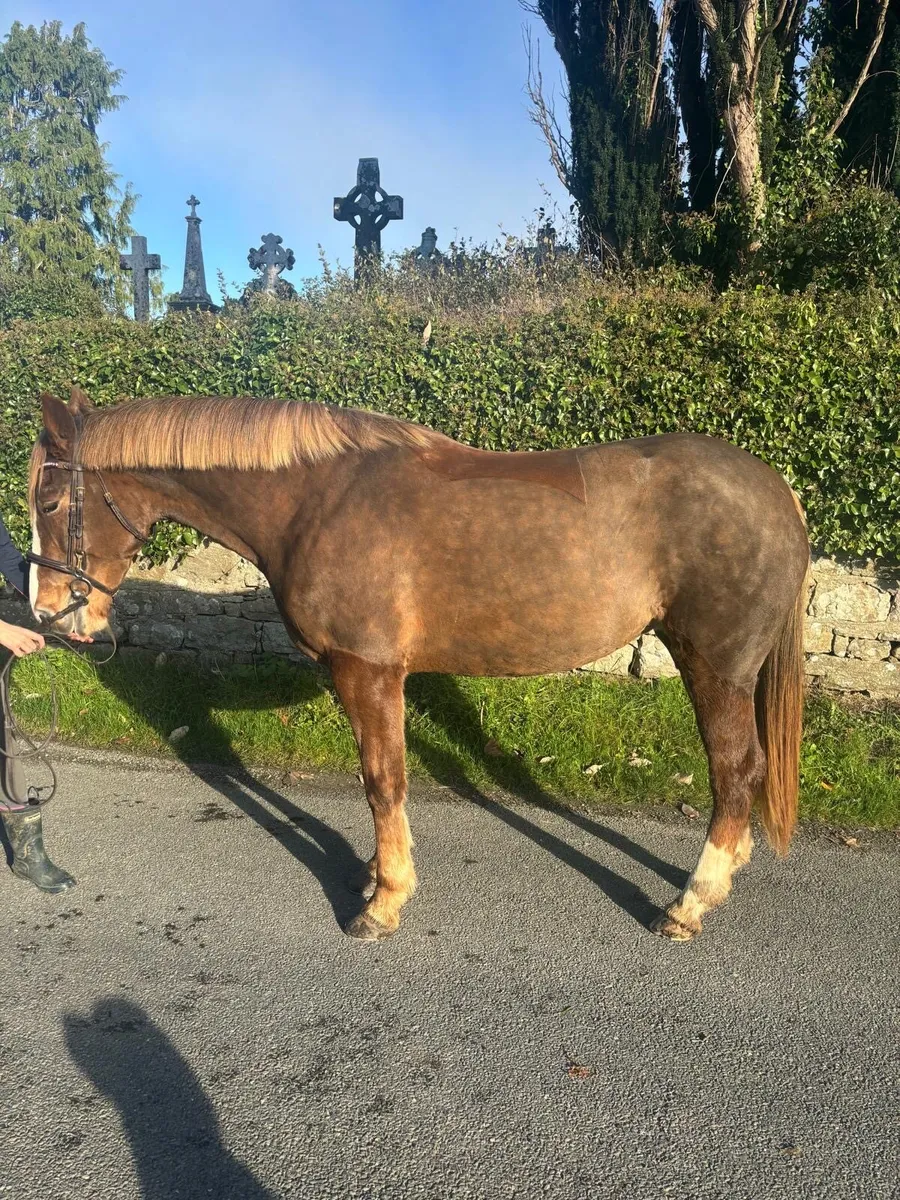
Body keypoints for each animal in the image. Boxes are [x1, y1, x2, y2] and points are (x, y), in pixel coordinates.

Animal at [28, 388, 810, 943]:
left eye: (51, 499)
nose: (49, 618)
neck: (315, 501)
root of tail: (779, 495)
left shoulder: (368, 670)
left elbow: (384, 781)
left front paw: (384, 902)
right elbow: (378, 779)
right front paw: (373, 876)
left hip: (715, 667)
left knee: (736, 771)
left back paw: (690, 903)